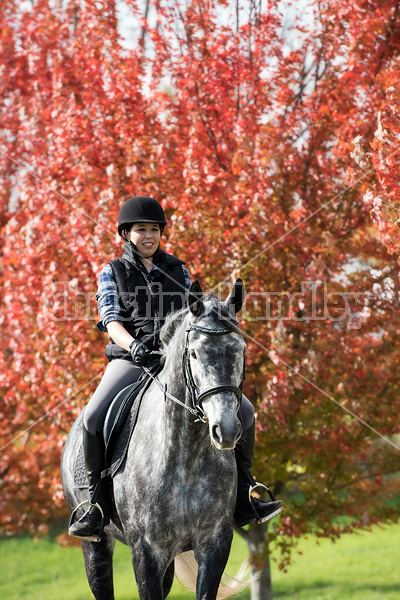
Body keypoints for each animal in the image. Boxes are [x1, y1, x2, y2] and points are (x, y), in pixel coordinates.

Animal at [61, 278, 248, 596]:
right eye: (194, 353)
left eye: (241, 350)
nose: (226, 430)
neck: (186, 458)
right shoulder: (146, 552)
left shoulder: (215, 544)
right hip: (95, 546)